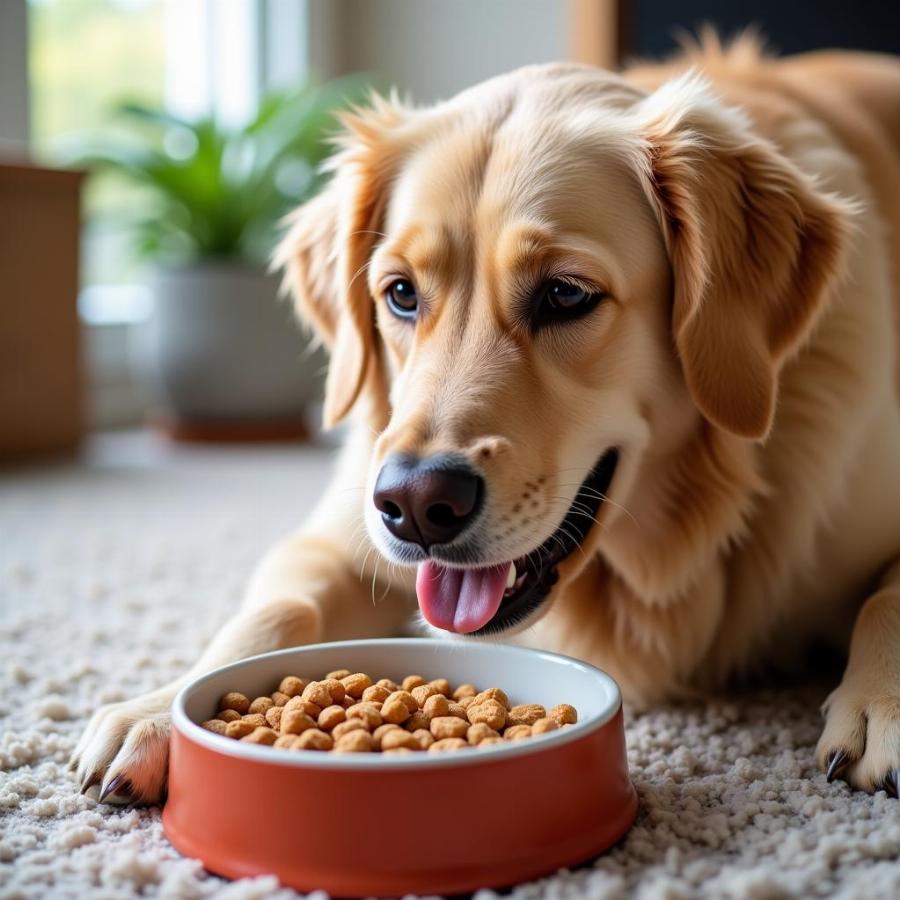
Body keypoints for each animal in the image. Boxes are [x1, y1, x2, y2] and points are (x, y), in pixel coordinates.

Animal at [72, 38, 900, 804]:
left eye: (566, 294)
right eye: (400, 293)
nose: (414, 506)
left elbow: (885, 598)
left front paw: (880, 708)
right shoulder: (339, 534)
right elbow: (272, 612)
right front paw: (156, 711)